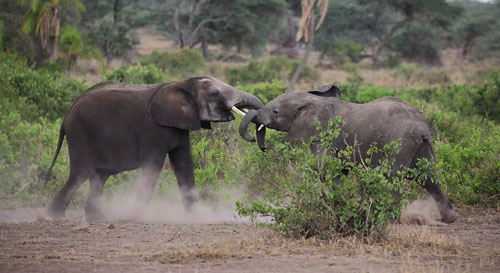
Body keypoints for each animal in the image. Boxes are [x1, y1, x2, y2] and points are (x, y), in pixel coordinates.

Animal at [43, 75, 264, 220]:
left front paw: (195, 216)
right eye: (215, 93)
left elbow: (184, 164)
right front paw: (136, 215)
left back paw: (96, 218)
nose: (255, 139)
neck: (181, 84)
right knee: (81, 173)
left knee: (99, 176)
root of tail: (66, 115)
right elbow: (154, 167)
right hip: (80, 134)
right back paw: (55, 217)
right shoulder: (153, 129)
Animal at [240, 85, 458, 223]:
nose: (263, 147)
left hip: (400, 142)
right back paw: (449, 218)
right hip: (421, 146)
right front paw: (340, 206)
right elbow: (337, 173)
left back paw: (387, 218)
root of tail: (423, 127)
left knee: (392, 176)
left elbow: (322, 168)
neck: (314, 101)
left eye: (275, 112)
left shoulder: (324, 135)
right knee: (428, 178)